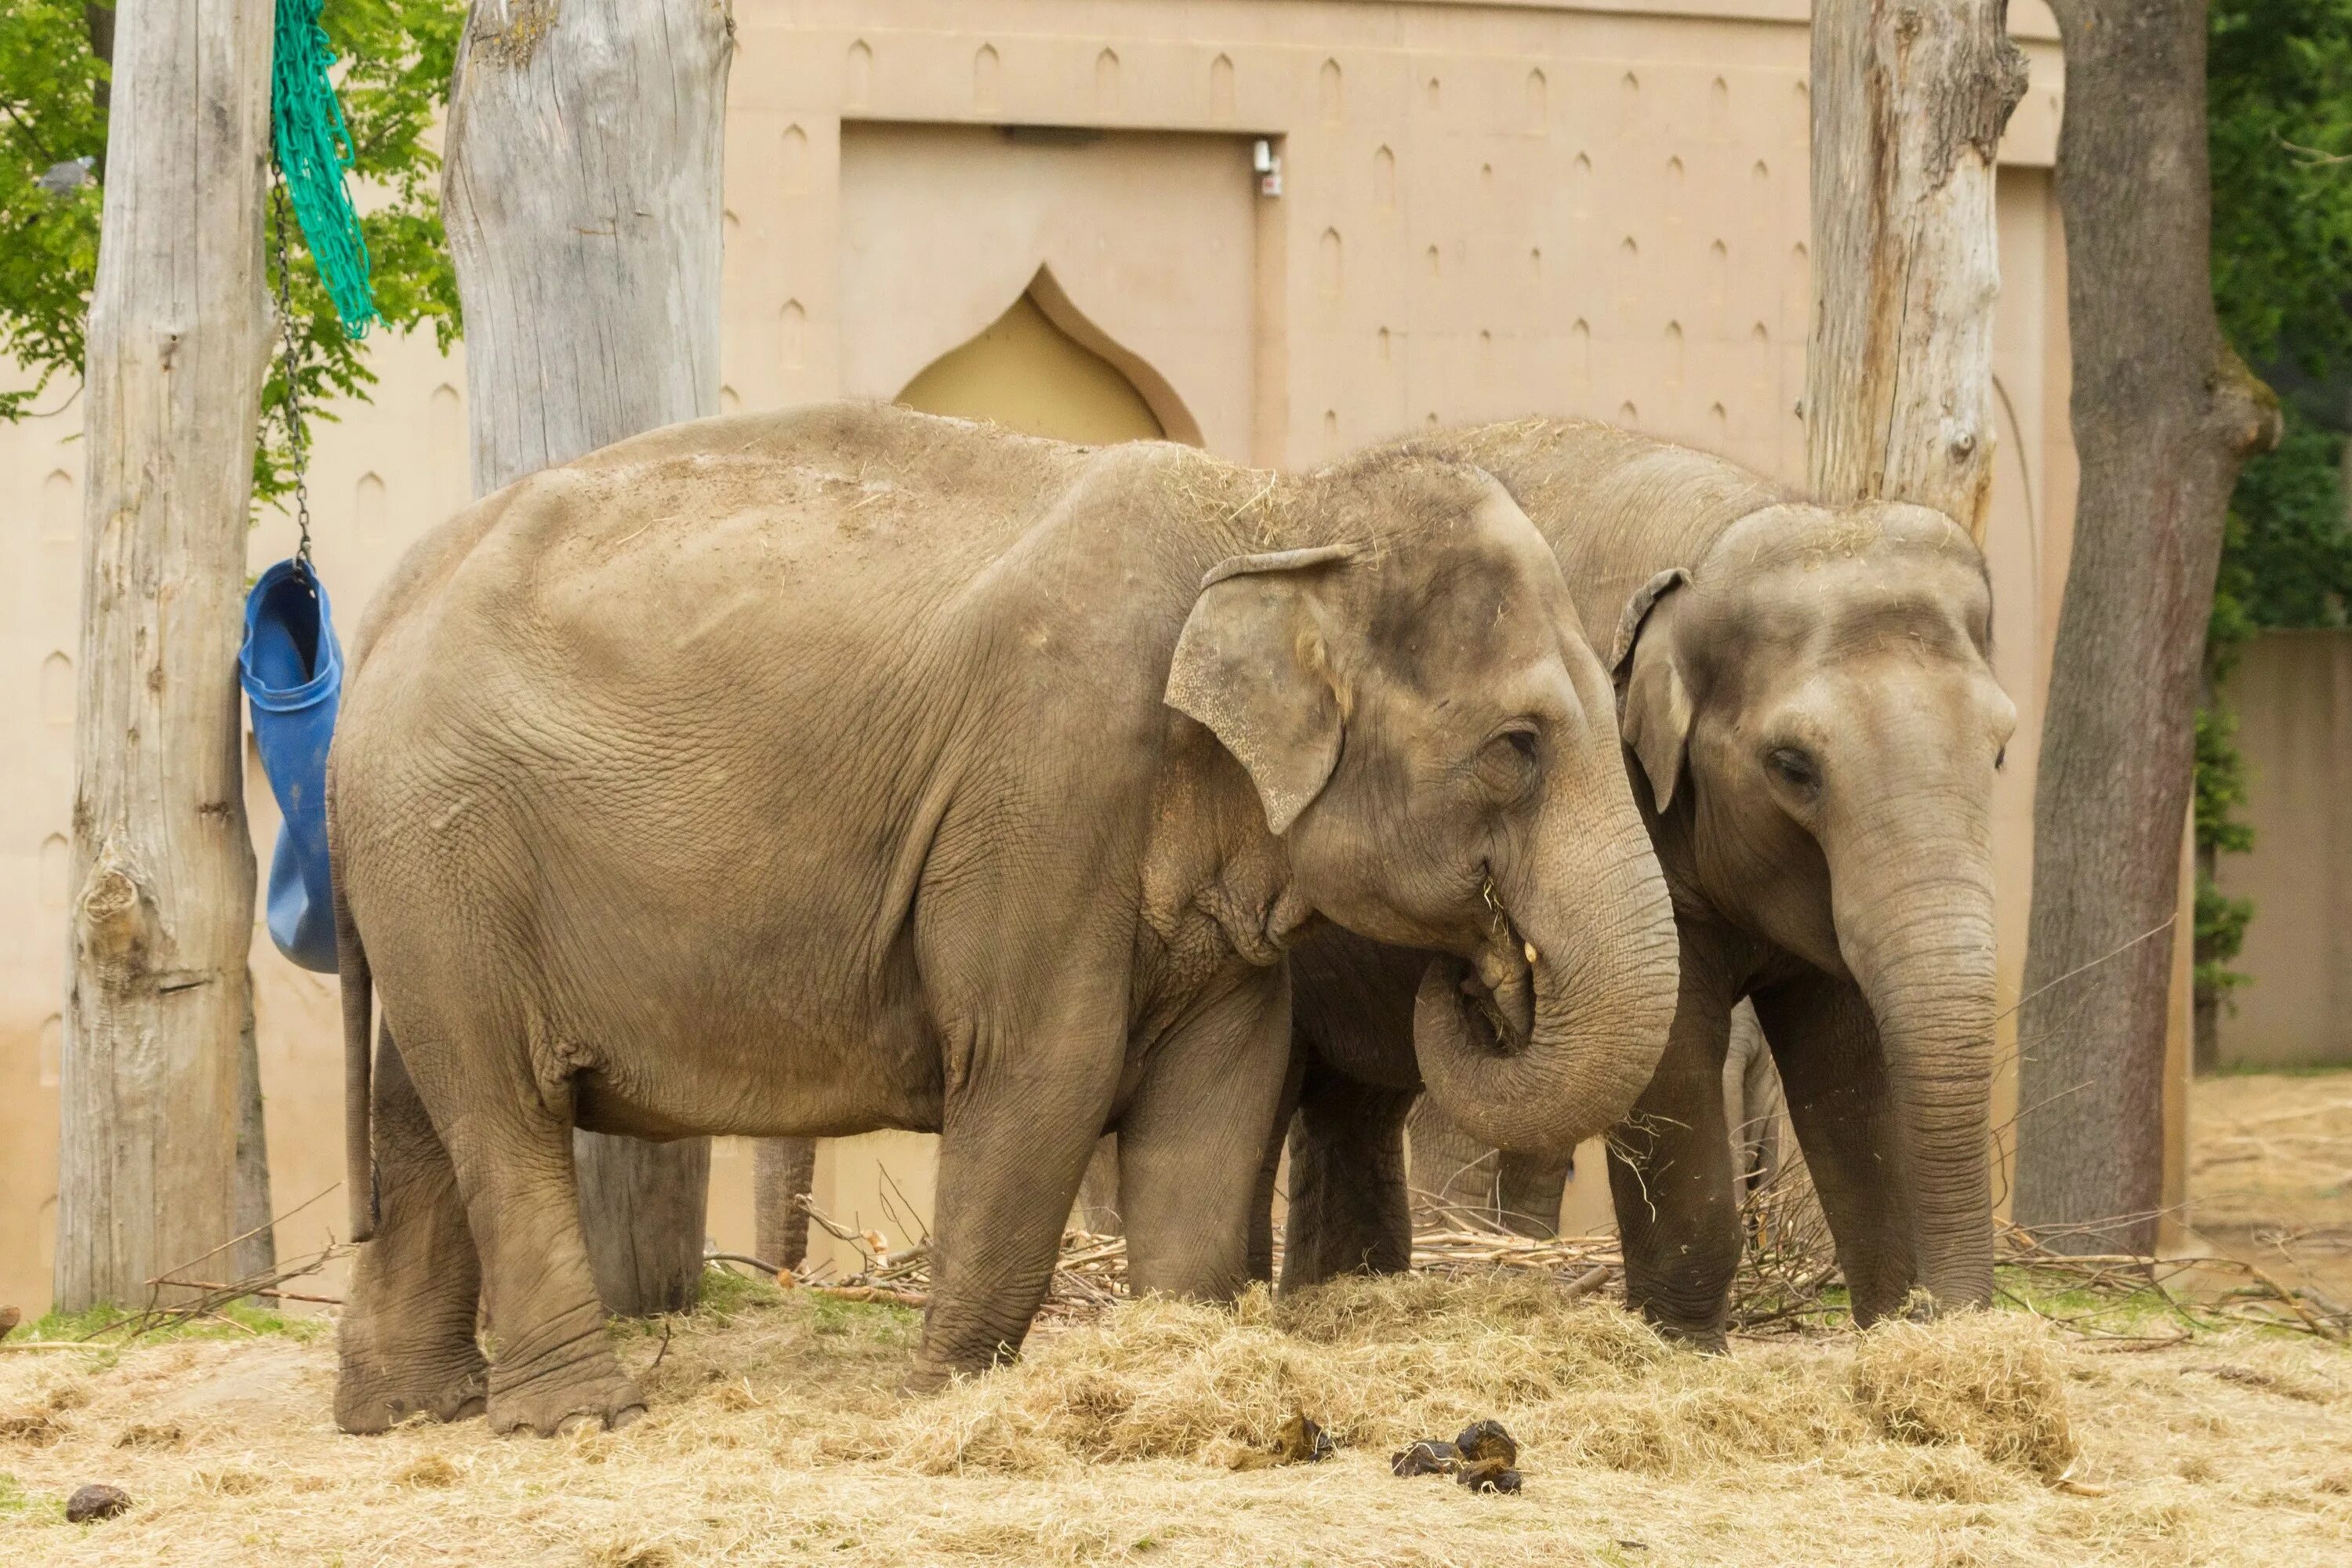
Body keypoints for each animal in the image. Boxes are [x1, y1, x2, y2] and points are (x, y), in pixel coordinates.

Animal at [336, 404, 1693, 1439]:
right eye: (1517, 748)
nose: (1488, 973)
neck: (1275, 510)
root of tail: (384, 605)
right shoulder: (1046, 782)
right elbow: (1044, 1068)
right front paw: (943, 1395)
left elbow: (1222, 1085)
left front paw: (1176, 1363)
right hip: (447, 847)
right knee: (504, 1109)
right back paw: (580, 1415)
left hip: (421, 875)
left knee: (418, 1113)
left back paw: (406, 1410)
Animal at [1279, 420, 2013, 1354]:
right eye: (1793, 766)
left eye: (2001, 748)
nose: (1945, 1316)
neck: (1727, 531)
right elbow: (1669, 1059)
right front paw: (1686, 1347)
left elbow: (1850, 1069)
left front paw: (1891, 1331)